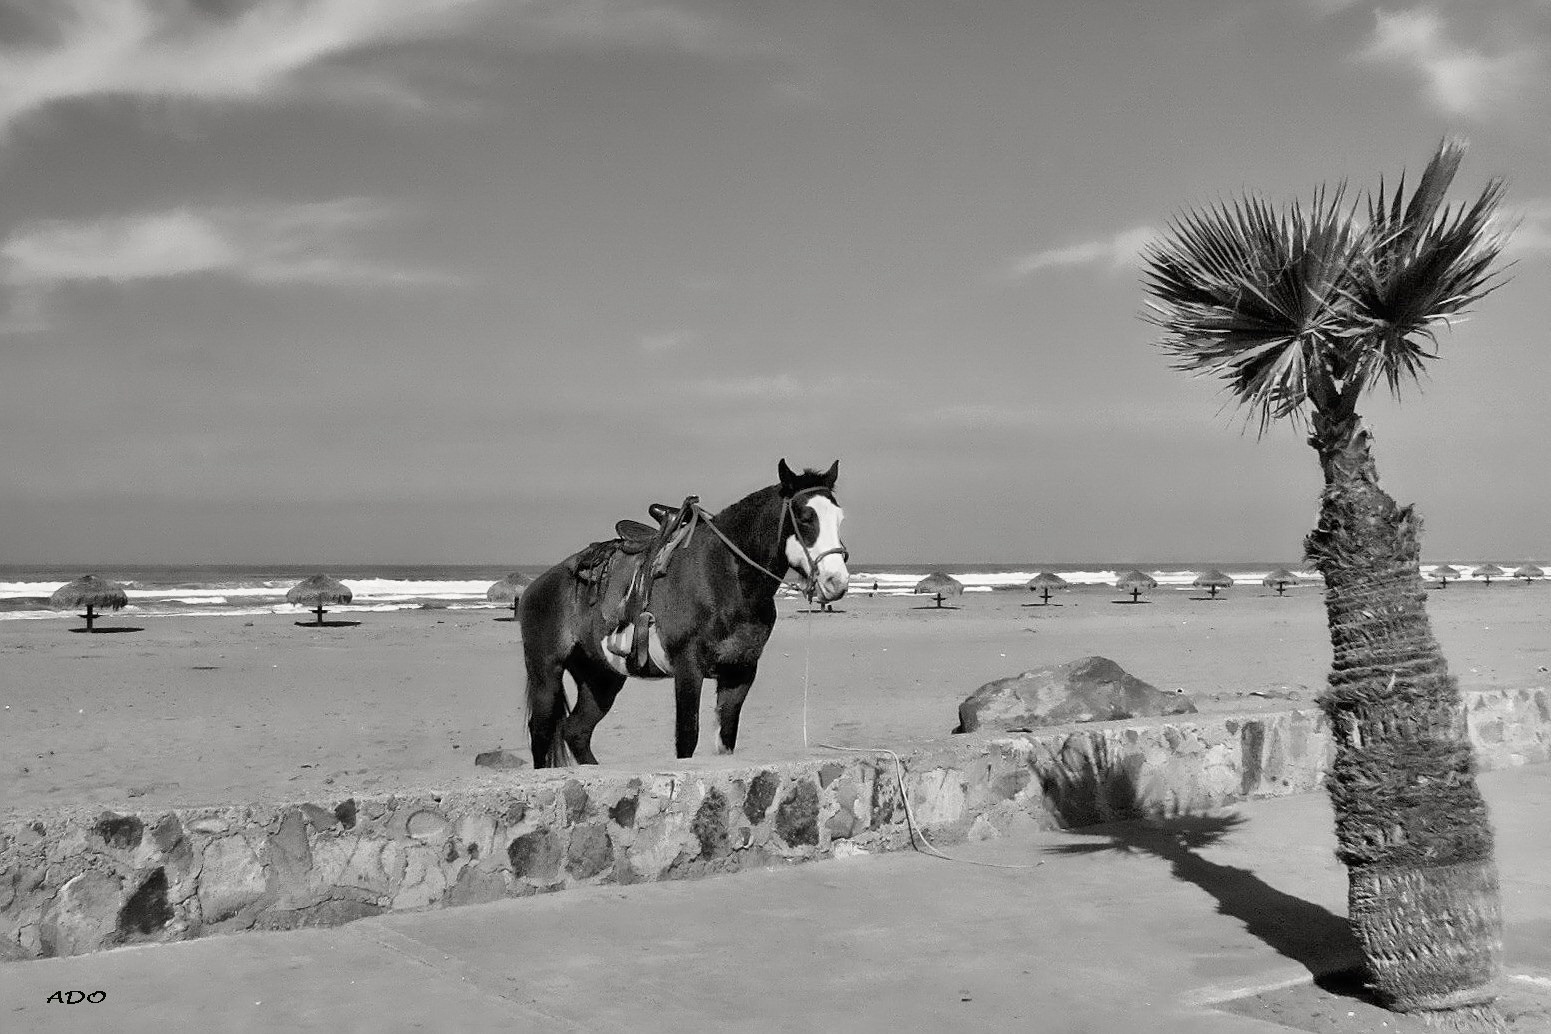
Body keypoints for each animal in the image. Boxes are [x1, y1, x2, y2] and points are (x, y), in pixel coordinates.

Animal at [518, 461, 849, 768]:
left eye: (839, 518)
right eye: (805, 518)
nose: (837, 581)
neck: (725, 577)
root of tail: (536, 585)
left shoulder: (740, 673)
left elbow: (725, 742)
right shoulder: (688, 669)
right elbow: (687, 739)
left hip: (601, 677)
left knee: (576, 731)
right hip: (546, 672)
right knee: (542, 732)